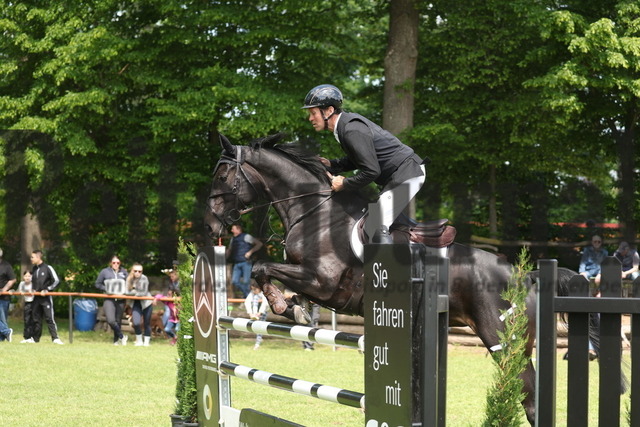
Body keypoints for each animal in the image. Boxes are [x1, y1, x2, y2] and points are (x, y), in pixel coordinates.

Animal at [205, 133, 592, 424]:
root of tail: (525, 275)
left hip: (502, 340)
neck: (315, 213)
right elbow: (273, 277)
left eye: (222, 176)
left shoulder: (323, 282)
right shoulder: (312, 282)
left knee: (527, 395)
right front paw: (294, 307)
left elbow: (261, 268)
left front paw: (285, 306)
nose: (211, 226)